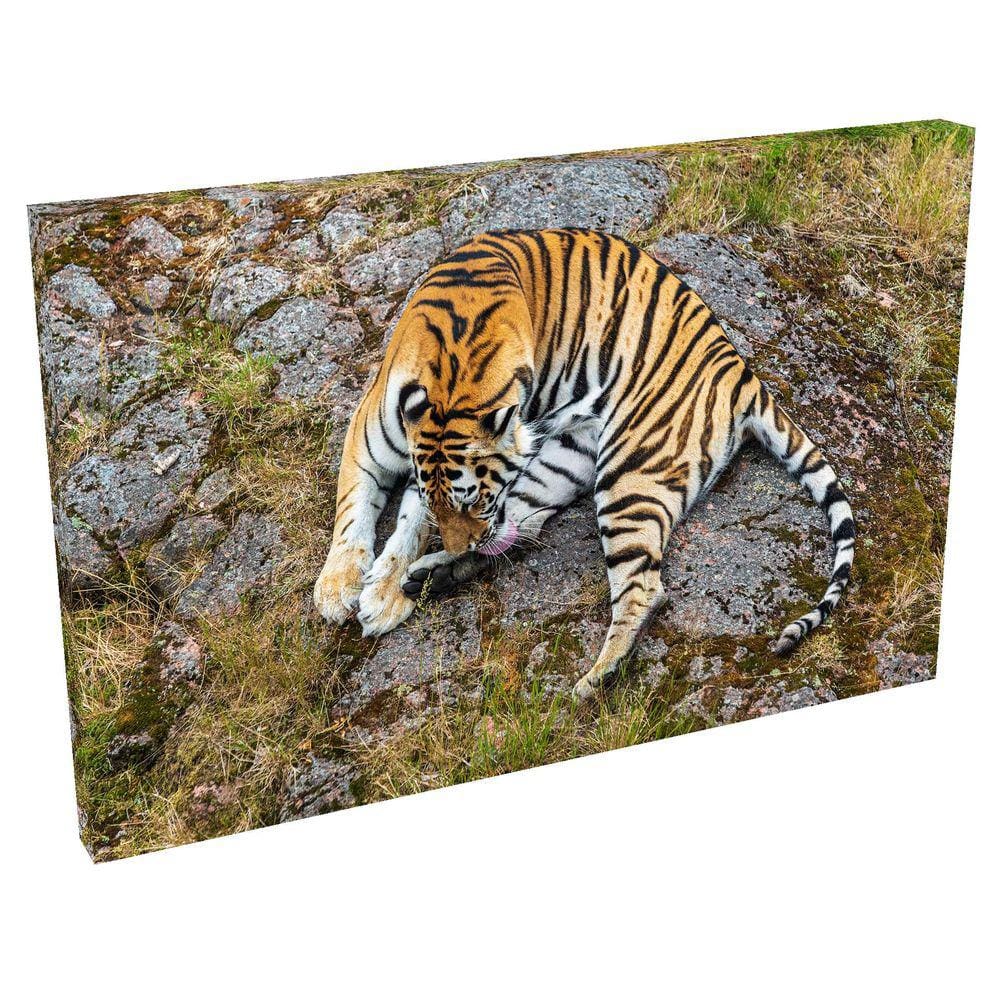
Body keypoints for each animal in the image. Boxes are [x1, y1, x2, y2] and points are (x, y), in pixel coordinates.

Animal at [314, 228, 856, 701]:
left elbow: (404, 525)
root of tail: (741, 369)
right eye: (456, 505)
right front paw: (341, 588)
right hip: (567, 459)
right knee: (524, 529)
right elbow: (354, 512)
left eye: (476, 503)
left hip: (628, 474)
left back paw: (594, 679)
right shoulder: (371, 439)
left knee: (644, 590)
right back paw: (435, 575)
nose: (464, 538)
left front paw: (380, 598)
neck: (455, 379)